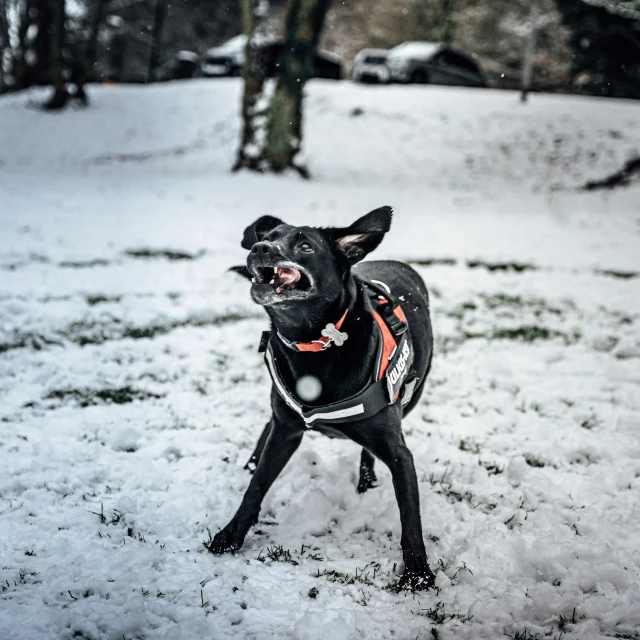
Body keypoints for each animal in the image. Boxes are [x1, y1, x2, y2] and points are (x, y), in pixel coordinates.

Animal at [212, 205, 438, 592]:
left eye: (305, 246)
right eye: (268, 236)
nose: (260, 248)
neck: (314, 345)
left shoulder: (399, 453)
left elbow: (410, 517)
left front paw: (418, 576)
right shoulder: (286, 430)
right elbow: (256, 487)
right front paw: (230, 535)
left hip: (411, 397)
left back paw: (366, 481)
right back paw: (252, 460)